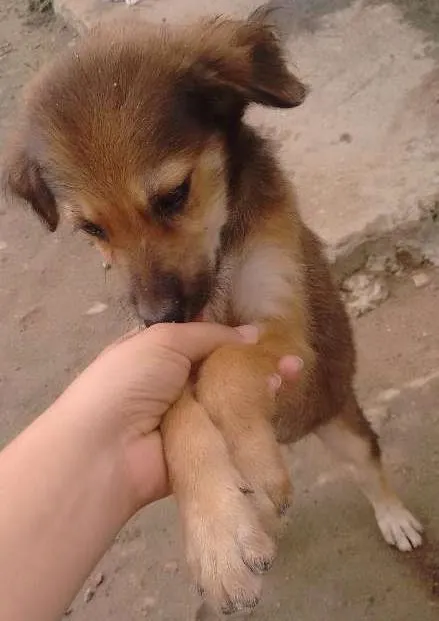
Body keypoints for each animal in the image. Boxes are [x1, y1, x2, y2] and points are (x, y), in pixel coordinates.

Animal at [2, 10, 422, 616]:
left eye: (174, 195)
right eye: (92, 230)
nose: (159, 319)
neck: (221, 259)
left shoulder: (287, 332)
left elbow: (226, 367)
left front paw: (253, 466)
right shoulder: (178, 355)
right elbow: (179, 415)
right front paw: (219, 533)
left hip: (340, 418)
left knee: (370, 469)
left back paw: (393, 518)